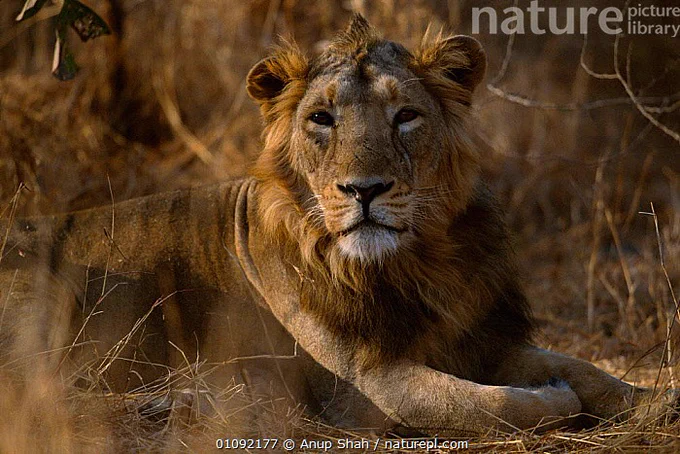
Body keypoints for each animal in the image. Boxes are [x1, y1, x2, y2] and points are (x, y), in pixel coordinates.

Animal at [0, 15, 674, 436]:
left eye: (406, 116)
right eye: (322, 119)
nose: (364, 190)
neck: (416, 264)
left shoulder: (478, 337)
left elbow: (588, 368)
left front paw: (652, 401)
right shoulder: (368, 386)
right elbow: (495, 405)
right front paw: (555, 398)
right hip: (47, 282)